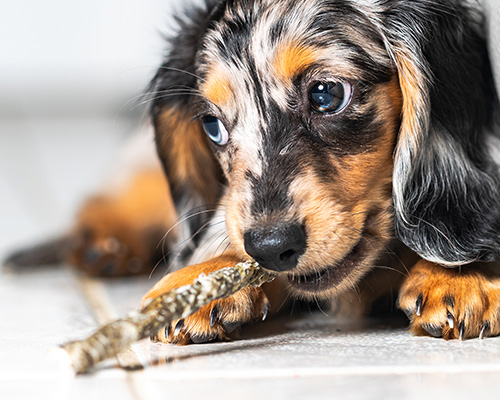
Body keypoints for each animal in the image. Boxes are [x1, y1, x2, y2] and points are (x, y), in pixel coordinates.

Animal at [5, 0, 500, 344]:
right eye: (212, 125)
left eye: (326, 94)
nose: (270, 247)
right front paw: (203, 276)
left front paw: (464, 274)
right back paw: (107, 241)